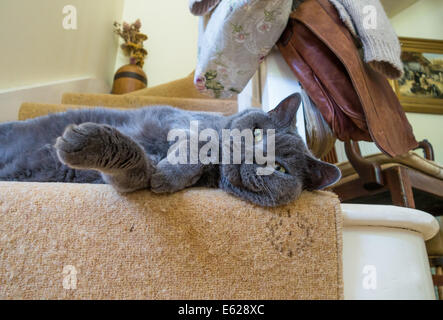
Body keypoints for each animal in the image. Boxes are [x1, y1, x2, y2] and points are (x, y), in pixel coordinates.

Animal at [0, 94, 342, 206]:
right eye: (258, 132)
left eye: (280, 168)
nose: (254, 155)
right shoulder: (181, 122)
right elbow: (198, 144)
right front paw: (169, 173)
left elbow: (137, 171)